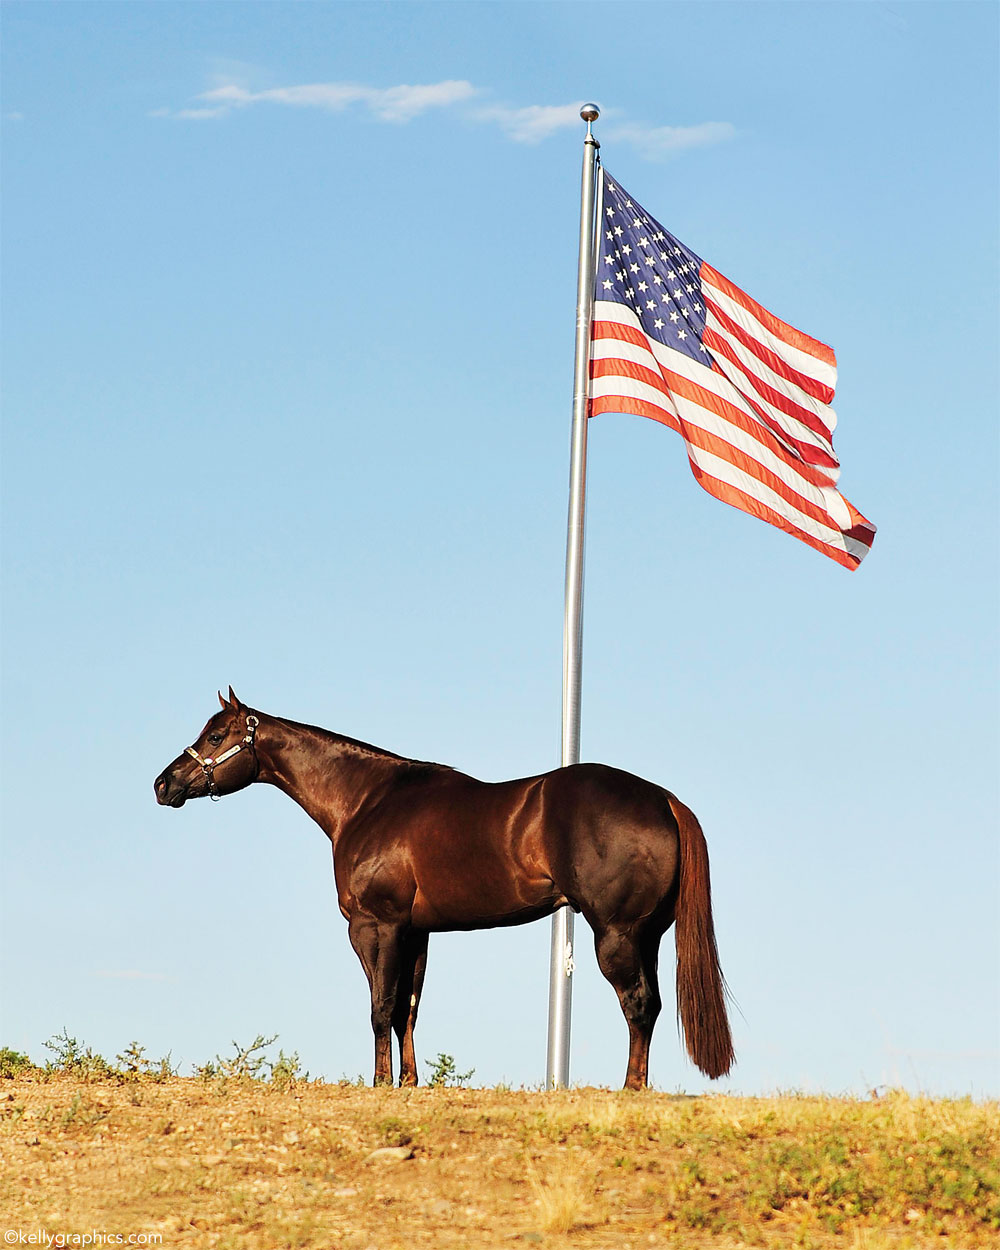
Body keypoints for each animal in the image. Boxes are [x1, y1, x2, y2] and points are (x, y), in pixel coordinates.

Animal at [156, 690, 735, 1090]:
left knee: (637, 1004)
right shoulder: (417, 933)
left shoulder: (375, 926)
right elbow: (408, 1009)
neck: (366, 801)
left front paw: (380, 1082)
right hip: (647, 936)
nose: (164, 784)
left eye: (215, 737)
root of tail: (662, 800)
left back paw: (631, 1087)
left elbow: (381, 1006)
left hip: (615, 933)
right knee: (651, 1006)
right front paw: (408, 1083)